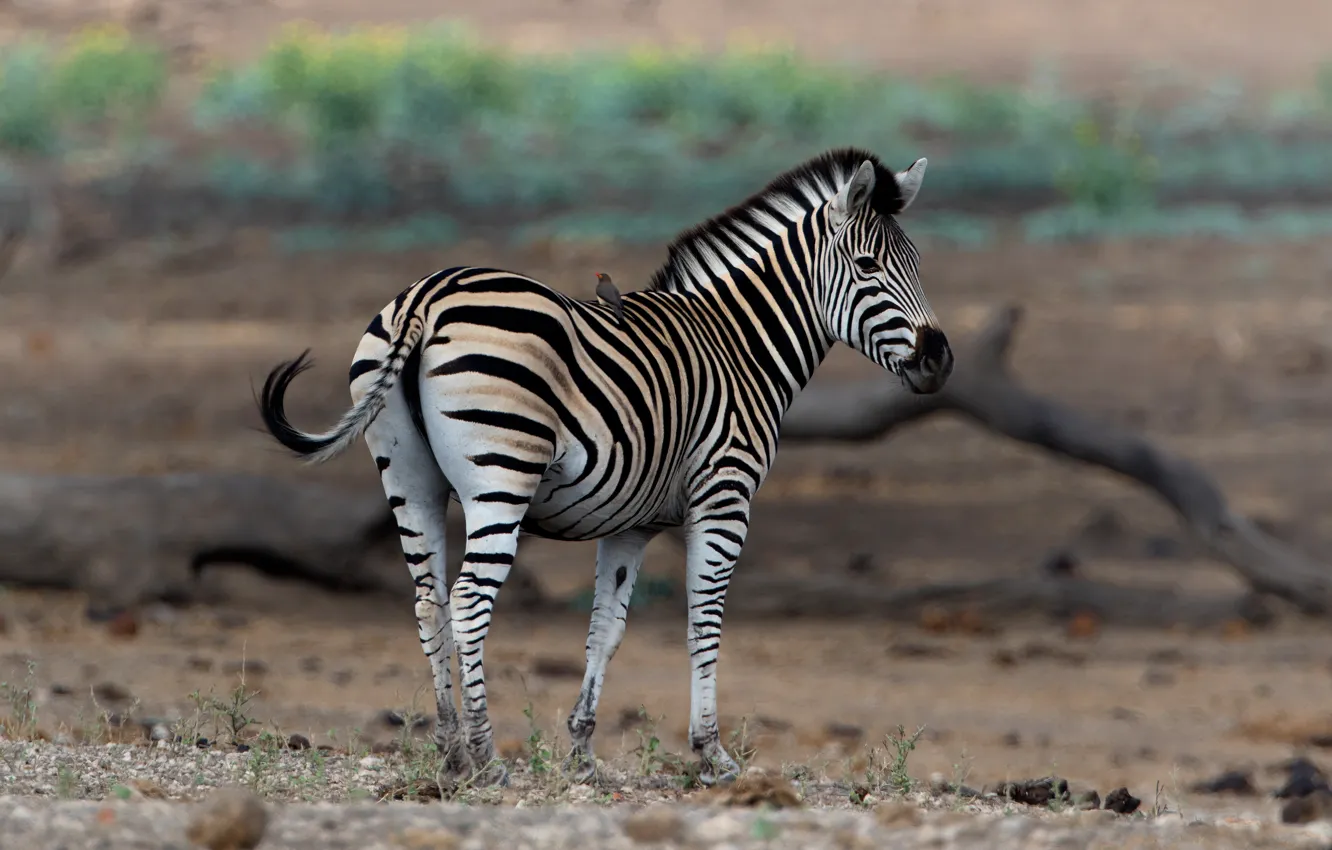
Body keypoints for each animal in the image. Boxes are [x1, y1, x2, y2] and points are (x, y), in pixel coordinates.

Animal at [256, 146, 953, 787]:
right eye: (868, 267)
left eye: (919, 266)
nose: (940, 360)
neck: (739, 346)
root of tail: (427, 295)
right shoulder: (724, 497)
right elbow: (704, 619)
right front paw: (712, 754)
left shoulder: (631, 524)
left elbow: (605, 629)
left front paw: (582, 752)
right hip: (502, 475)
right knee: (469, 600)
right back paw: (486, 757)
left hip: (408, 478)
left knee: (430, 603)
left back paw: (451, 753)